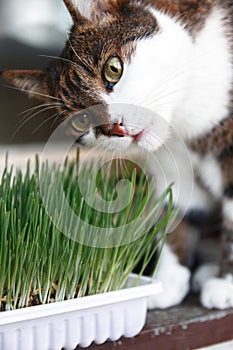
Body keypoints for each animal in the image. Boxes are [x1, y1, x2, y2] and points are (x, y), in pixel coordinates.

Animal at [0, 0, 232, 310]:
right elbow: (176, 216)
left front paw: (226, 285)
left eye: (113, 69)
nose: (117, 128)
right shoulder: (175, 166)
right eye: (80, 122)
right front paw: (167, 282)